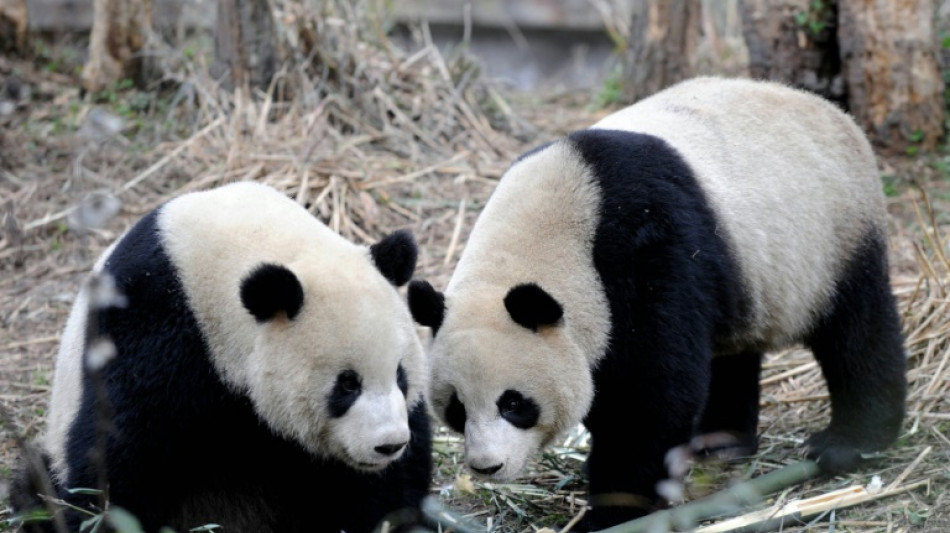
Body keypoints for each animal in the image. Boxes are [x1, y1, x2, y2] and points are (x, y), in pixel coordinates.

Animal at [12, 181, 432, 533]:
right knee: (36, 487)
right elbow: (119, 453)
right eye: (347, 384)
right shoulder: (156, 327)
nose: (388, 444)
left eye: (400, 375)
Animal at [407, 77, 907, 530]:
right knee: (731, 349)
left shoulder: (647, 250)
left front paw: (613, 510)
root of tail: (830, 111)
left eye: (514, 403)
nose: (486, 466)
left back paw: (850, 441)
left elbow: (652, 392)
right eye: (456, 408)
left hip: (834, 232)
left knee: (857, 330)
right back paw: (720, 441)